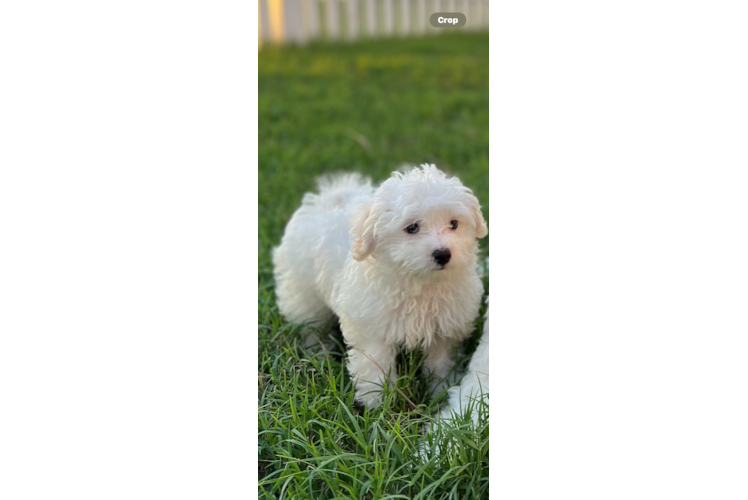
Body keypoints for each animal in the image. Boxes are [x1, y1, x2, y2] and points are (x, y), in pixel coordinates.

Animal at [272, 164, 488, 406]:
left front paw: (441, 390)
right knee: (311, 323)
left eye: (454, 224)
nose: (443, 254)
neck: (421, 283)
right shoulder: (372, 329)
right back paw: (317, 352)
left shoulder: (444, 331)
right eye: (412, 228)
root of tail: (331, 197)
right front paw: (377, 405)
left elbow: (440, 362)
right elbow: (375, 368)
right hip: (302, 289)